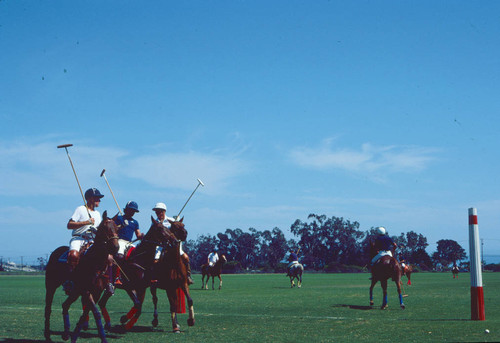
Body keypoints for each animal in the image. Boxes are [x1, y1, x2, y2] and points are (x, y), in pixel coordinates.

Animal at [43, 212, 119, 343]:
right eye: (105, 228)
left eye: (117, 228)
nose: (116, 247)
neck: (95, 262)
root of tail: (55, 251)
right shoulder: (86, 290)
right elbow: (95, 313)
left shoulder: (96, 291)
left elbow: (85, 314)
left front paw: (74, 336)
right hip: (51, 285)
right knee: (48, 308)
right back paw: (48, 335)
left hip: (75, 291)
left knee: (65, 305)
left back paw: (66, 333)